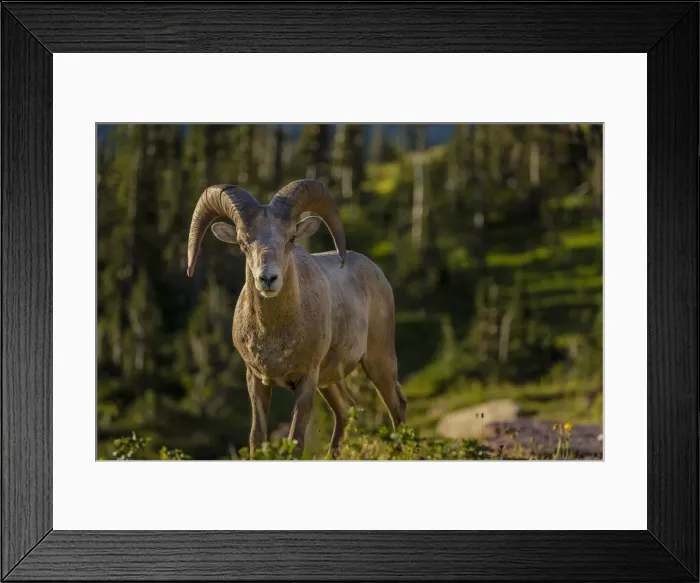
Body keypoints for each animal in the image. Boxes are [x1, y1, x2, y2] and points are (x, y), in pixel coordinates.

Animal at [187, 179, 407, 458]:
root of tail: (378, 274)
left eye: (290, 238)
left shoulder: (305, 381)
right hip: (329, 382)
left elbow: (295, 441)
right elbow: (256, 438)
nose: (268, 279)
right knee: (346, 411)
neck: (274, 335)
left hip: (378, 362)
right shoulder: (256, 380)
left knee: (396, 407)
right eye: (242, 243)